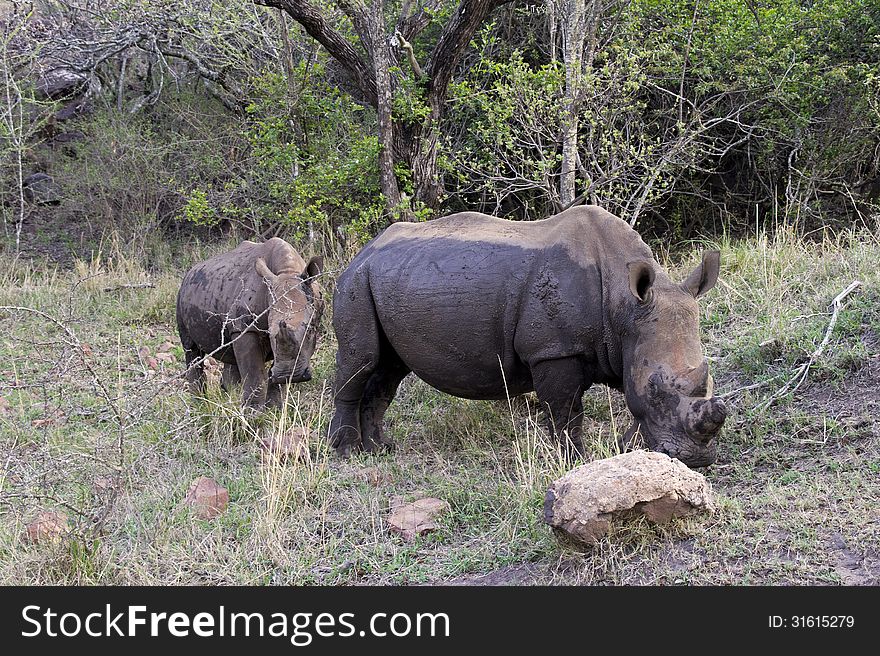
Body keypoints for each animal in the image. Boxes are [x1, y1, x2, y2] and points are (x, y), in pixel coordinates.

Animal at [175, 238, 324, 408]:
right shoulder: (245, 328)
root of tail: (189, 273)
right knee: (191, 349)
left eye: (311, 329)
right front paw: (253, 412)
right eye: (269, 333)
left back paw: (229, 398)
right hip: (180, 297)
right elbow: (254, 376)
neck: (288, 271)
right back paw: (200, 406)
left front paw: (274, 409)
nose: (287, 374)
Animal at [330, 205, 728, 466]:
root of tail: (363, 250)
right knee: (361, 361)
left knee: (389, 370)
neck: (623, 306)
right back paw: (348, 453)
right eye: (656, 390)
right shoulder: (553, 350)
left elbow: (627, 405)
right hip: (355, 281)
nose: (696, 459)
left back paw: (380, 450)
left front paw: (629, 448)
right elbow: (566, 411)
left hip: (389, 278)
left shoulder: (628, 340)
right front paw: (575, 462)